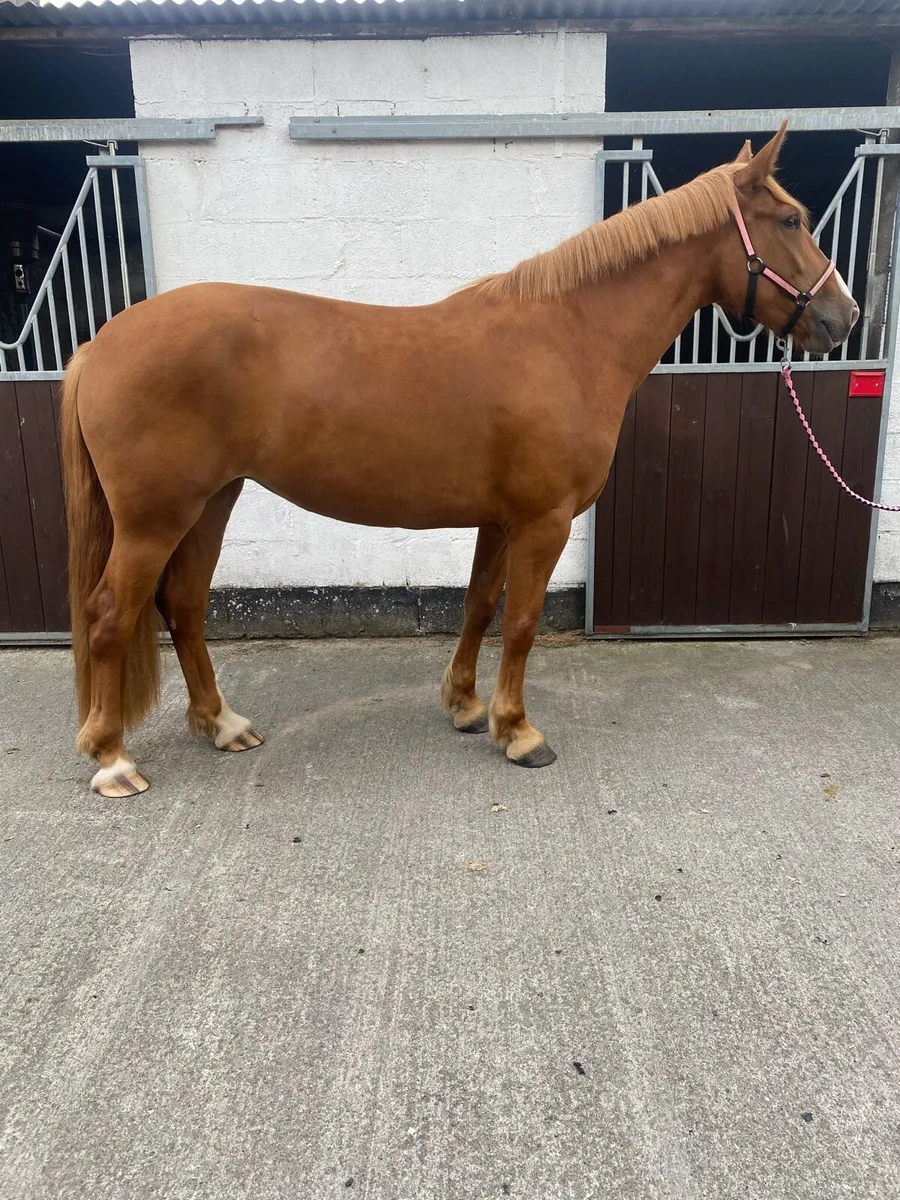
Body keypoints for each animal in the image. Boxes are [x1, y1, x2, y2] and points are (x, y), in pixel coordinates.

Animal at [61, 121, 858, 797]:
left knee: (183, 605)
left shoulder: (500, 520)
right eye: (792, 221)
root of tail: (99, 344)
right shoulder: (544, 521)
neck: (569, 338)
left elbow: (478, 606)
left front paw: (468, 707)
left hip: (210, 503)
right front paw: (520, 732)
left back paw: (221, 724)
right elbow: (524, 621)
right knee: (109, 615)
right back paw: (112, 759)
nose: (844, 318)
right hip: (154, 519)